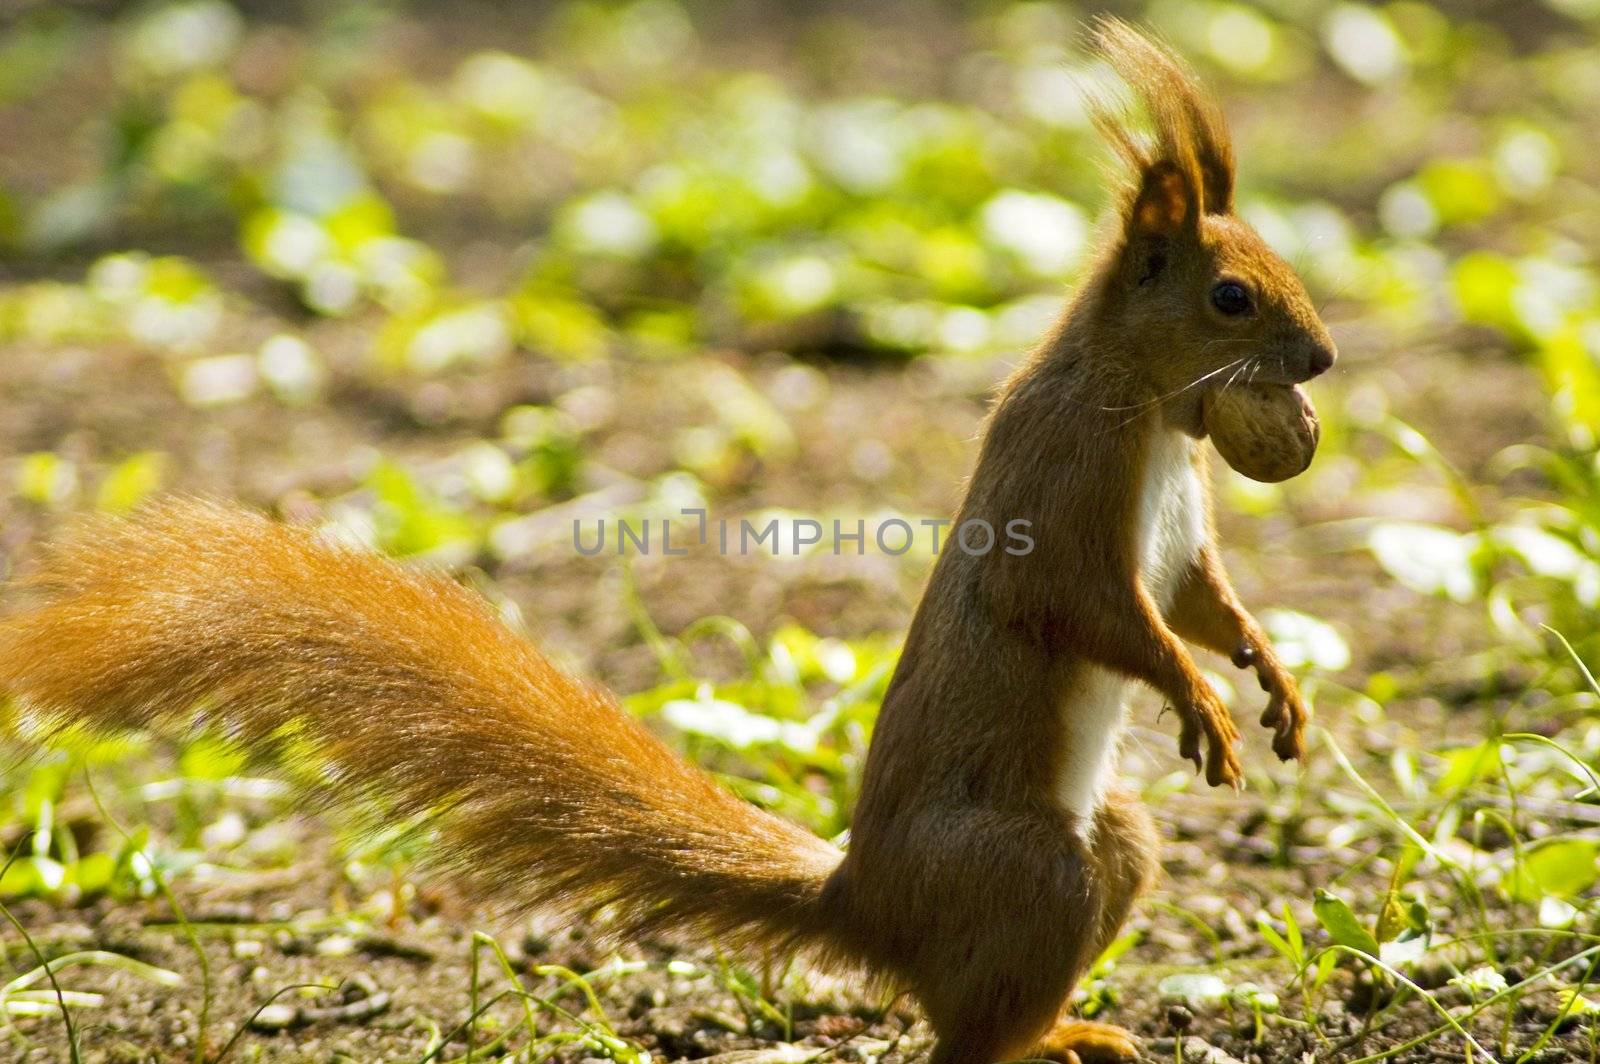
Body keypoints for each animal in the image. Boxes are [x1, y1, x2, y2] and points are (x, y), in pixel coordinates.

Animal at [0, 18, 1337, 1062]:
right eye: (1230, 296)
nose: (1322, 358)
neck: (1151, 410)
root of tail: (866, 902)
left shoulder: (1179, 529)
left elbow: (1202, 594)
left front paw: (1268, 680)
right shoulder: (1059, 489)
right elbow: (1086, 606)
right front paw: (1196, 696)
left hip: (1110, 840)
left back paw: (1065, 1026)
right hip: (1029, 867)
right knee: (960, 1035)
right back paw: (1044, 1032)